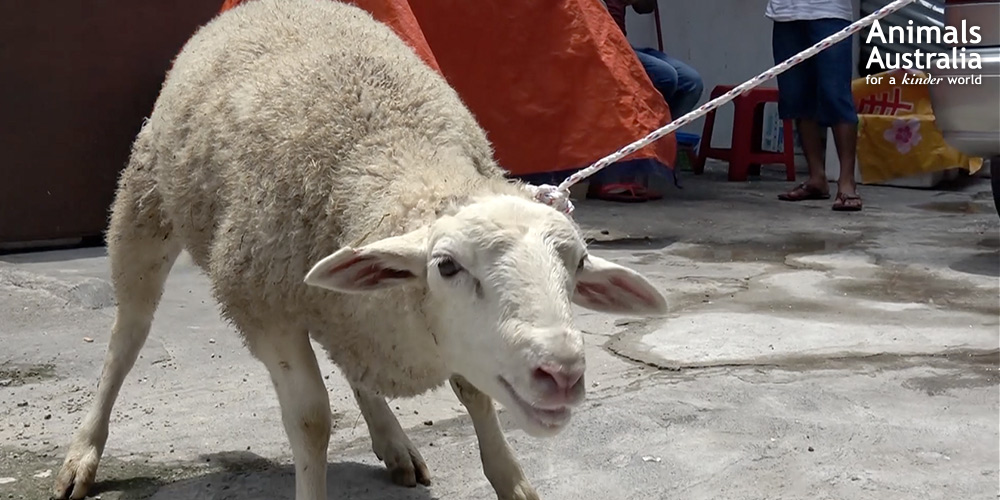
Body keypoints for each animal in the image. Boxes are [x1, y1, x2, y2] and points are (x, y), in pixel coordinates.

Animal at [50, 0, 668, 500]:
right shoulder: (262, 306)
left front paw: (512, 482)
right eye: (446, 266)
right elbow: (312, 421)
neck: (397, 153)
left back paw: (393, 441)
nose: (561, 373)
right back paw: (84, 453)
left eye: (579, 265)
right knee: (127, 337)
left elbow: (474, 393)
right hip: (143, 207)